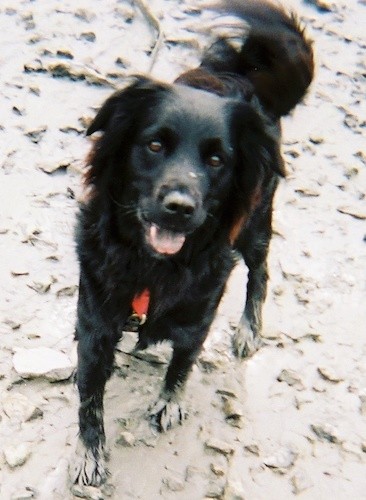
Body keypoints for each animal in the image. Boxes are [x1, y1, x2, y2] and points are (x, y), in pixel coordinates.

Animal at [73, 0, 314, 484]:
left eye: (217, 159)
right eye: (154, 145)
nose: (180, 207)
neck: (152, 266)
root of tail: (243, 74)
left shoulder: (199, 314)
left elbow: (183, 363)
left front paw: (170, 401)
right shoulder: (94, 319)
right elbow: (90, 395)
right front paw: (91, 452)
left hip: (256, 224)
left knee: (260, 272)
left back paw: (249, 329)